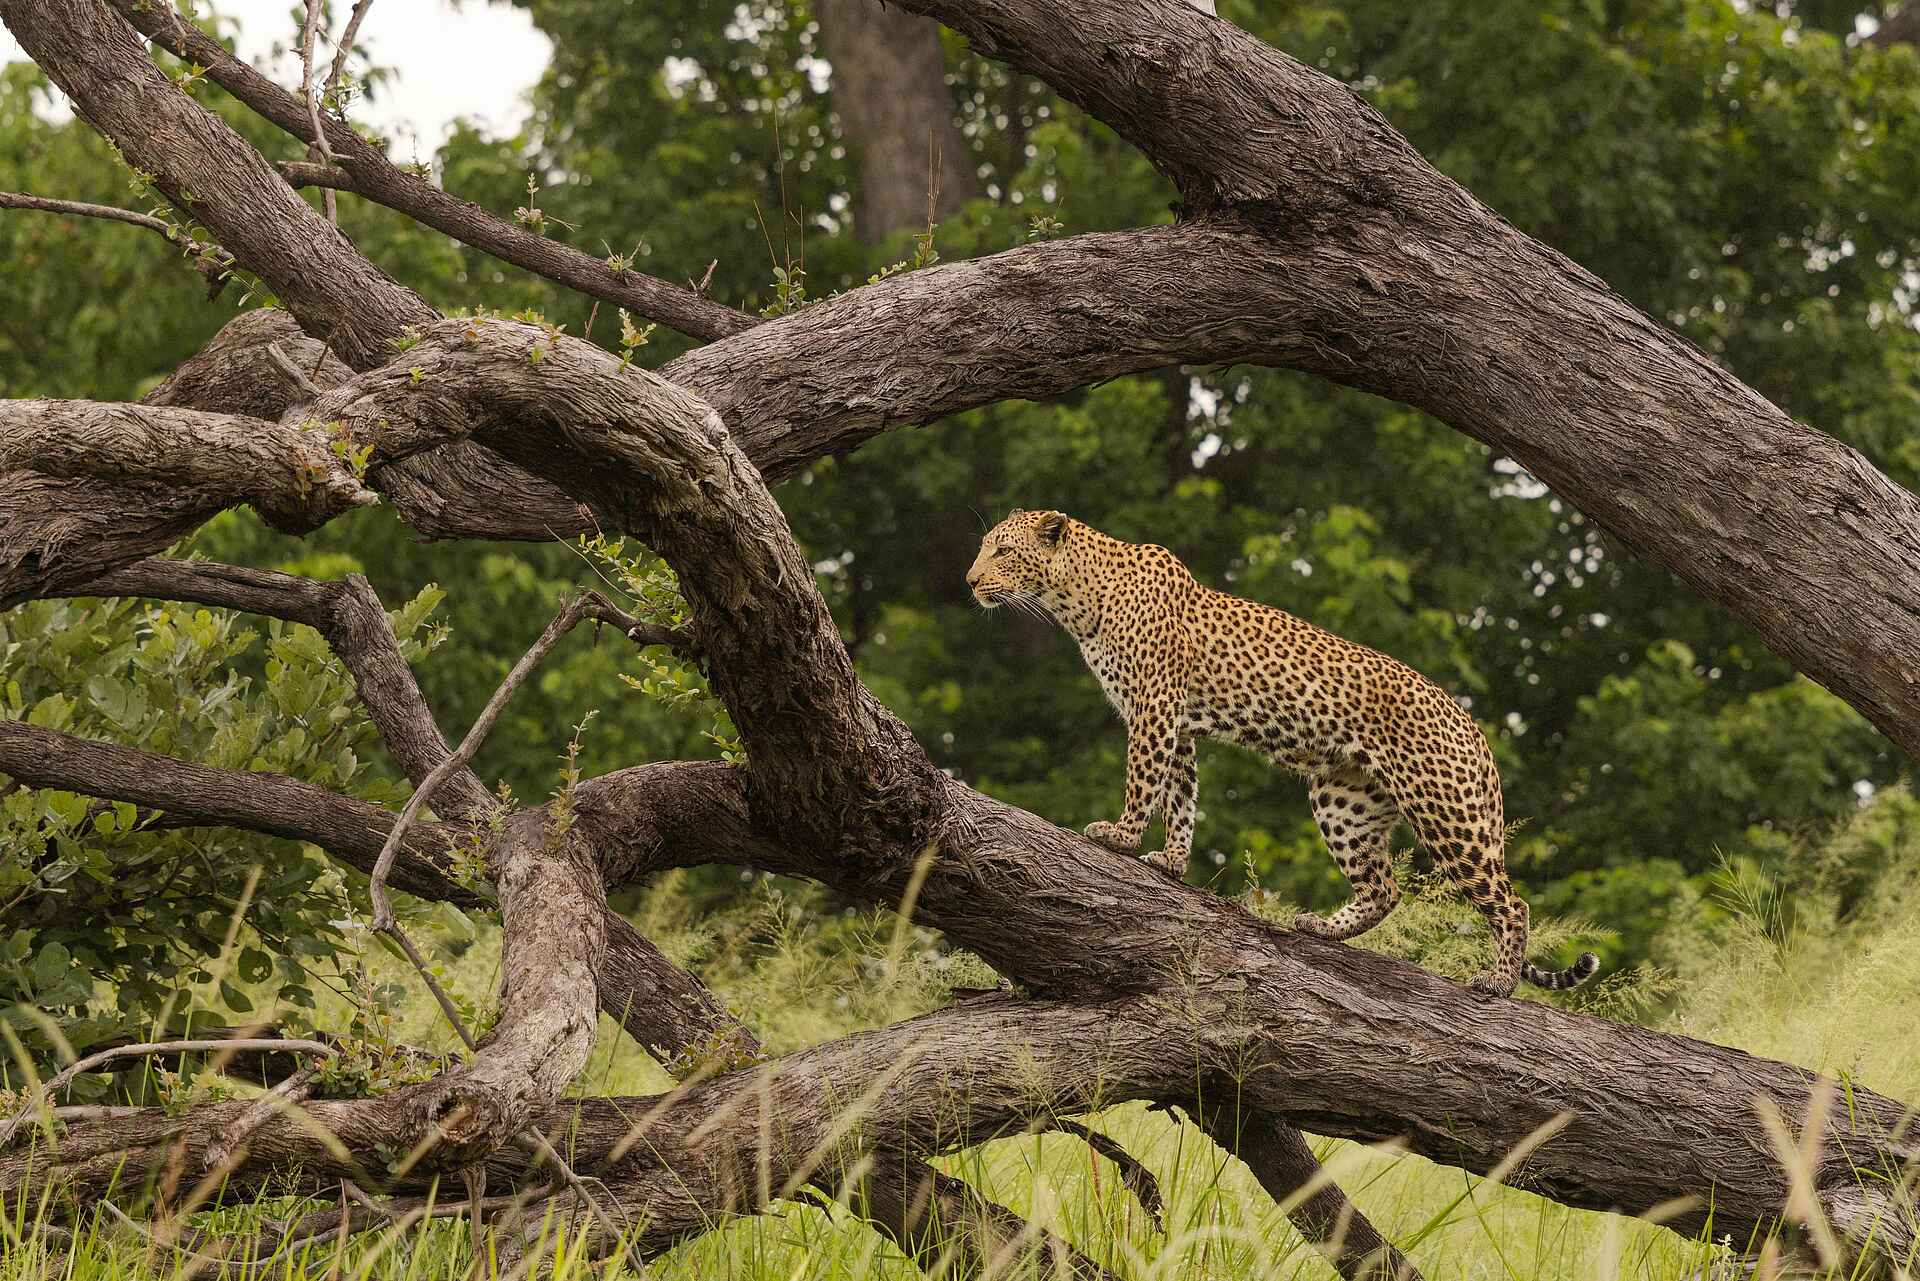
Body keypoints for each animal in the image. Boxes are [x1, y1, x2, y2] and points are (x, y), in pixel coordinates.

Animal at [965, 508, 1600, 997]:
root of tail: (1476, 730)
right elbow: (1181, 796)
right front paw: (1171, 860)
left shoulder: (1154, 708)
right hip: (1343, 802)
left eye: (1003, 551)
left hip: (1448, 815)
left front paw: (1119, 836)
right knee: (1385, 888)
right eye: (982, 547)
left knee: (1511, 903)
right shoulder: (1179, 726)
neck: (1076, 597)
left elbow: (1144, 780)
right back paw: (1321, 928)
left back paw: (1499, 981)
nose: (969, 582)